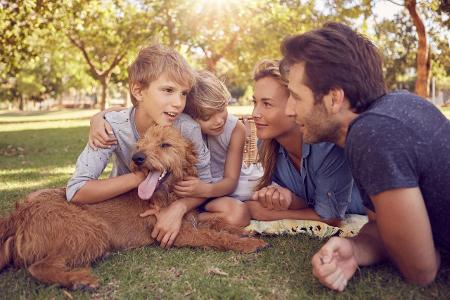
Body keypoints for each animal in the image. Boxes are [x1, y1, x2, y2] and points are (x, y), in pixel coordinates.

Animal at [0, 125, 268, 290]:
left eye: (165, 145)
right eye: (140, 145)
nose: (137, 158)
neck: (168, 192)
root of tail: (18, 213)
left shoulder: (191, 218)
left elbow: (217, 222)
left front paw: (245, 232)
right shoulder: (178, 232)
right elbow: (213, 236)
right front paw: (247, 243)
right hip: (91, 232)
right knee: (37, 267)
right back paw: (78, 279)